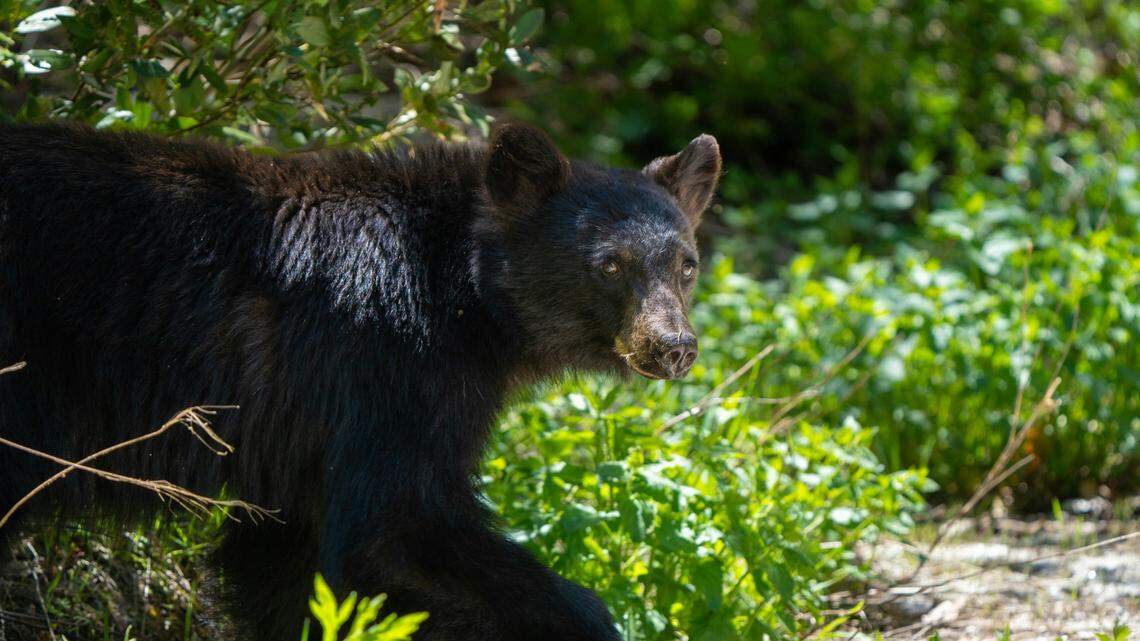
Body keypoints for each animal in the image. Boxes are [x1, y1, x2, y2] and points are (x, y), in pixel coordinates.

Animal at [0, 121, 721, 641]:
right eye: (608, 265)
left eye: (686, 264)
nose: (673, 347)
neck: (463, 294)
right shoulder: (385, 367)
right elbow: (391, 529)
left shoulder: (302, 439)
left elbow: (288, 562)